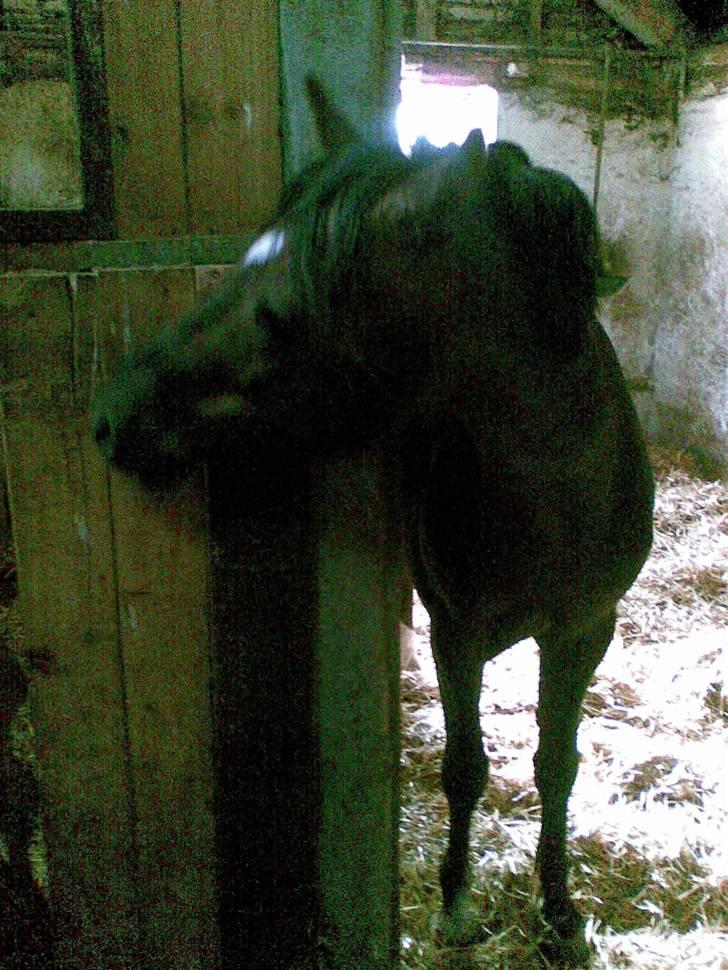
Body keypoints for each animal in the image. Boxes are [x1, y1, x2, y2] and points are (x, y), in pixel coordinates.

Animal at [93, 78, 654, 965]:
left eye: (280, 314)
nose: (114, 416)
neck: (554, 496)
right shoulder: (459, 631)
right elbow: (465, 767)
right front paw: (457, 903)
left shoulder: (584, 630)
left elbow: (555, 765)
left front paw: (561, 913)